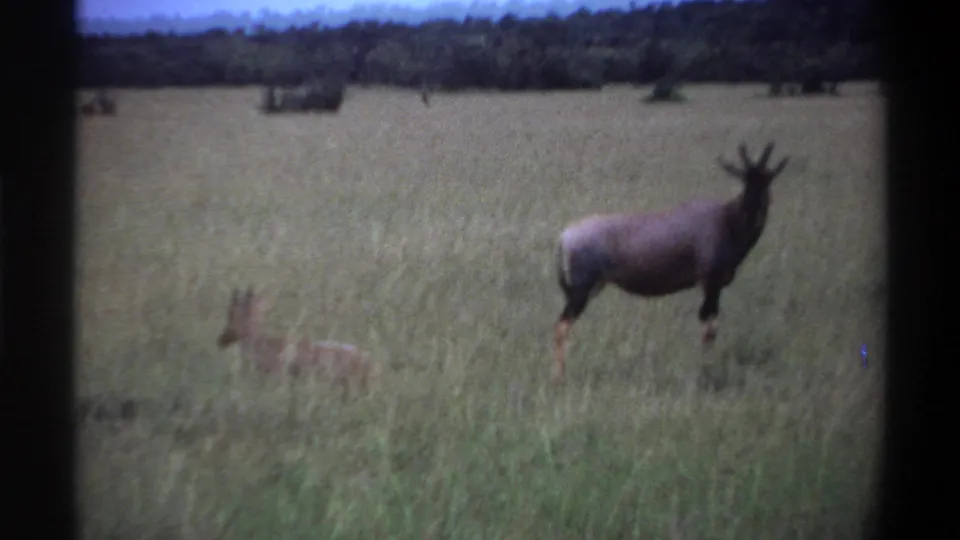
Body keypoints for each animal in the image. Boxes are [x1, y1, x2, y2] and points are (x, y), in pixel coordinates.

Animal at [552, 142, 789, 381]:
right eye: (744, 180)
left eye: (767, 180)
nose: (753, 216)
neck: (725, 218)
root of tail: (565, 236)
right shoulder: (710, 283)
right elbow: (709, 327)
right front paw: (705, 373)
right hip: (581, 291)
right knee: (561, 326)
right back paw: (560, 378)